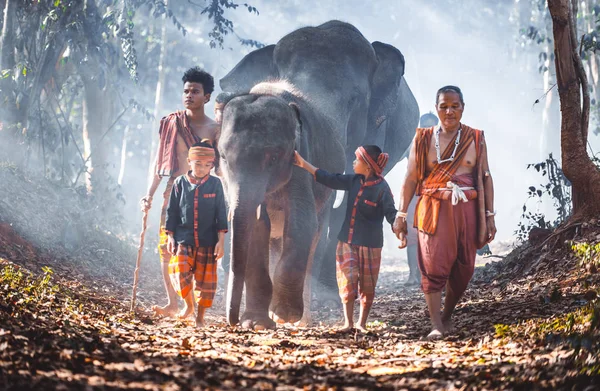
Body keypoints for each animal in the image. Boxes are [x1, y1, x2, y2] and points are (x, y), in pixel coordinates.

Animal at [219, 81, 342, 330]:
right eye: (223, 157)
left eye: (274, 158)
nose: (233, 321)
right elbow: (257, 227)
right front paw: (256, 324)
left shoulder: (301, 159)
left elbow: (302, 221)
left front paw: (284, 314)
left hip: (327, 196)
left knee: (314, 238)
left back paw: (301, 322)